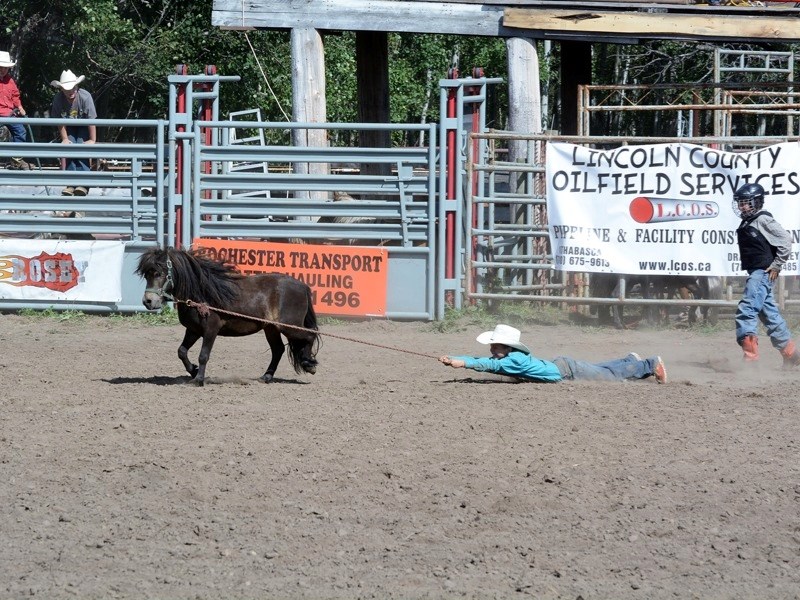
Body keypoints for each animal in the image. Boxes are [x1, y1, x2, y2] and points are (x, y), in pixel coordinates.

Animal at [137, 246, 318, 386]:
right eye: (146, 275)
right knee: (278, 349)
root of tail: (303, 286)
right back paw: (266, 377)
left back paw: (309, 364)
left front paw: (198, 379)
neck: (202, 294)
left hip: (289, 326)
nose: (148, 301)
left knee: (310, 335)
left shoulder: (211, 329)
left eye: (159, 273)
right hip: (271, 328)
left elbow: (203, 355)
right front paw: (193, 370)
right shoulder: (194, 330)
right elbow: (181, 351)